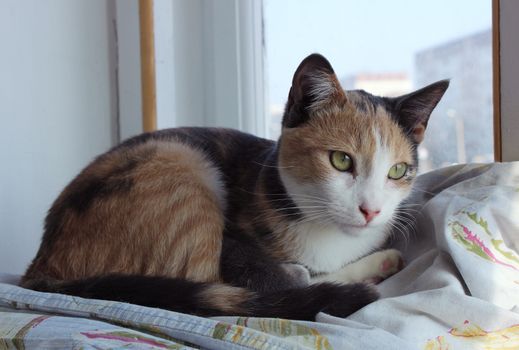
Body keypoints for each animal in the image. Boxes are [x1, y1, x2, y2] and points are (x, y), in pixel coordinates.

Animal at [22, 54, 448, 320]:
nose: (371, 210)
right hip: (181, 163)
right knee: (223, 289)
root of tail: (42, 264)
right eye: (341, 160)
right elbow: (282, 279)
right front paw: (371, 266)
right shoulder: (237, 246)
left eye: (398, 170)